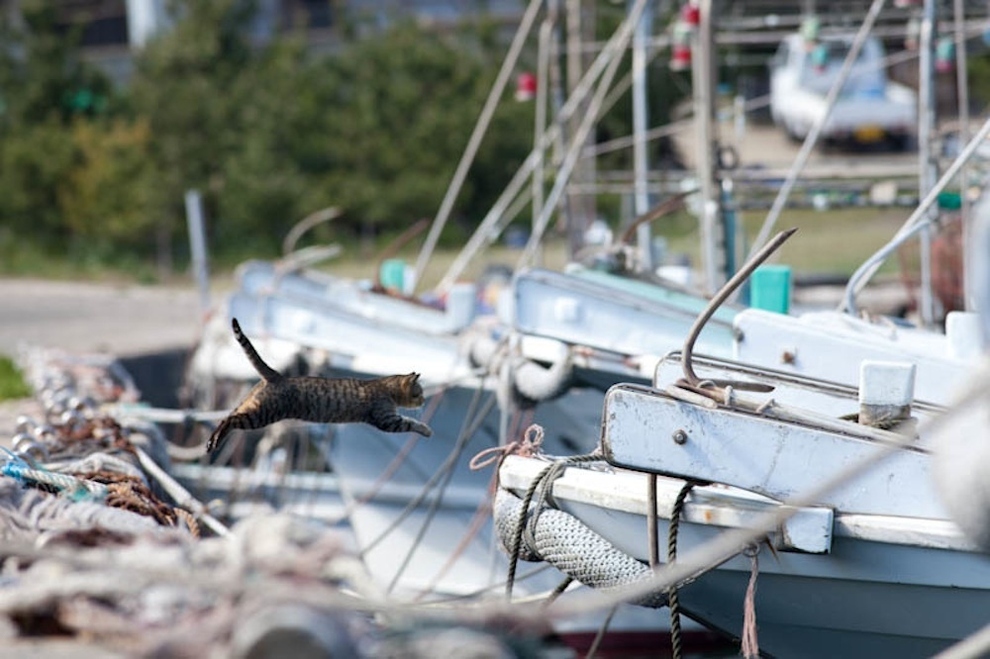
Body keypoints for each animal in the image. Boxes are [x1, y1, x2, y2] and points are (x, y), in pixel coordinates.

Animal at [208, 318, 434, 454]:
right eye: (419, 393)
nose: (424, 400)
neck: (387, 387)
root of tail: (277, 376)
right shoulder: (387, 420)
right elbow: (411, 423)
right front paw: (426, 430)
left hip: (250, 405)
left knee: (226, 417)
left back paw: (212, 441)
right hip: (261, 414)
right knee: (230, 420)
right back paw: (214, 441)